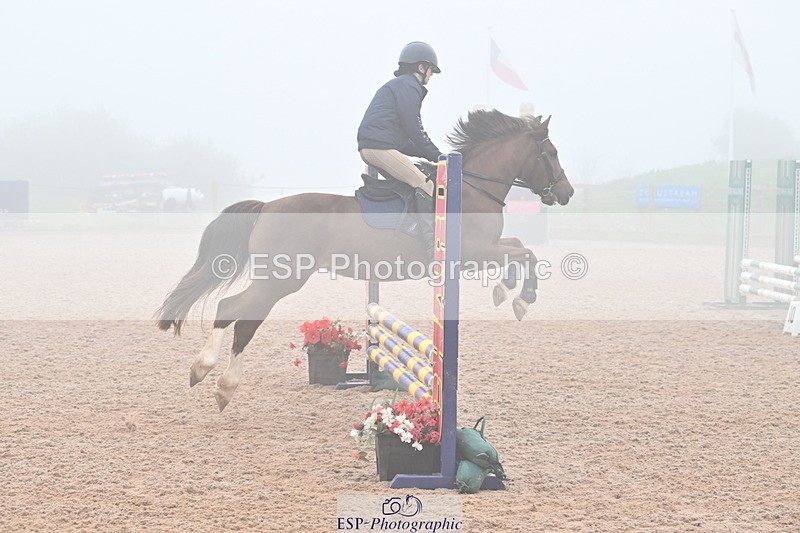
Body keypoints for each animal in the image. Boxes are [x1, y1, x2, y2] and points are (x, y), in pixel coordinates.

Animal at [156, 109, 574, 411]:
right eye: (552, 154)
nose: (567, 193)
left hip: (276, 278)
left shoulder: (486, 248)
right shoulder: (476, 253)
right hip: (280, 278)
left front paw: (508, 291)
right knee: (237, 313)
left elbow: (520, 247)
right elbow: (527, 253)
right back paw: (216, 380)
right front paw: (521, 297)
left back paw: (210, 376)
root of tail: (267, 207)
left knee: (235, 312)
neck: (469, 187)